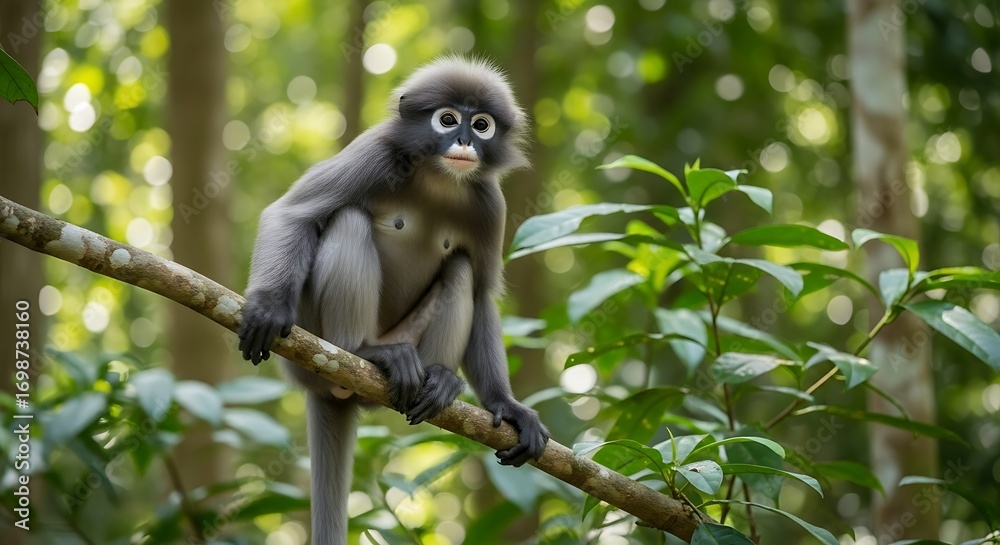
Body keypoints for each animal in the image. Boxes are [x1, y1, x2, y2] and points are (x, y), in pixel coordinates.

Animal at [237, 57, 549, 544]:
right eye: (447, 119)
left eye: (481, 125)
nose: (464, 141)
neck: (440, 179)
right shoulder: (374, 153)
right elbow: (291, 214)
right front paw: (268, 305)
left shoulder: (489, 203)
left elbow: (482, 295)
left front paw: (506, 405)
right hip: (311, 338)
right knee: (348, 219)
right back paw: (363, 352)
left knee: (460, 268)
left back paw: (439, 382)